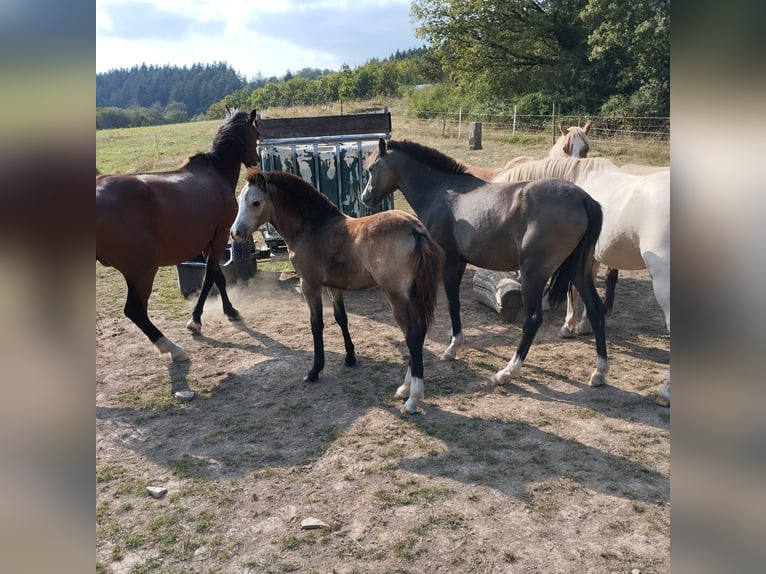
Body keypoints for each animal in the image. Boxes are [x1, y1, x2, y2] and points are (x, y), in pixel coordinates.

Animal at [95, 108, 264, 362]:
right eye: (256, 133)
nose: (255, 161)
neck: (216, 171)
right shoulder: (220, 236)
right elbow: (209, 277)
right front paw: (196, 320)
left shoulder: (207, 242)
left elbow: (218, 276)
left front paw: (230, 311)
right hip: (142, 270)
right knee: (134, 310)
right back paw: (171, 347)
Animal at [231, 169, 444, 416]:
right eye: (239, 201)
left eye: (255, 203)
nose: (235, 233)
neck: (311, 226)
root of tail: (415, 228)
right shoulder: (334, 285)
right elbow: (341, 318)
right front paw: (350, 357)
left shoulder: (309, 284)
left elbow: (316, 324)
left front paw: (314, 371)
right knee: (416, 334)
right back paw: (404, 390)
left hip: (397, 296)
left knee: (413, 335)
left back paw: (412, 399)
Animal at [362, 140, 612, 392]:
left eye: (372, 168)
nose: (365, 198)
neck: (443, 191)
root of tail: (583, 198)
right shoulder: (460, 262)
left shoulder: (449, 262)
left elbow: (453, 303)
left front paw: (452, 348)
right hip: (579, 271)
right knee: (595, 309)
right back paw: (599, 372)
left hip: (534, 274)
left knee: (532, 319)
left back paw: (507, 372)